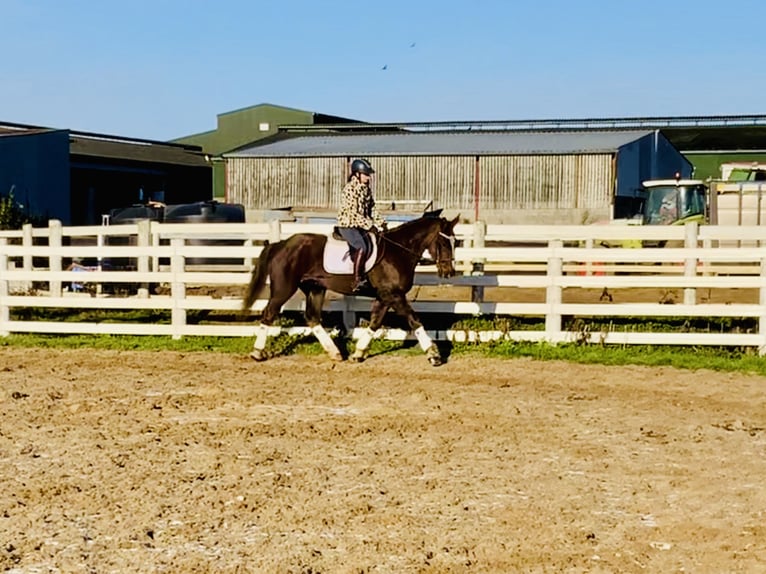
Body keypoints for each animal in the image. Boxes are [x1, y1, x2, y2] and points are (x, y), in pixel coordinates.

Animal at [243, 214, 460, 366]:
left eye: (455, 242)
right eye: (443, 242)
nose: (449, 272)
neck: (398, 251)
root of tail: (281, 244)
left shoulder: (384, 296)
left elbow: (375, 322)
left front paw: (358, 353)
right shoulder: (394, 295)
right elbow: (414, 320)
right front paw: (434, 355)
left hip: (315, 288)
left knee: (312, 317)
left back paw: (336, 353)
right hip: (284, 288)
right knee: (269, 312)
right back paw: (256, 353)